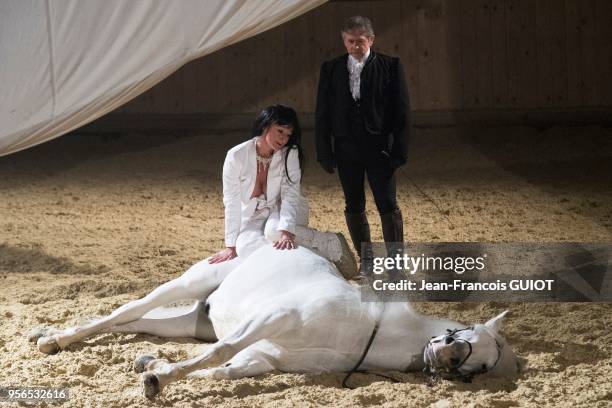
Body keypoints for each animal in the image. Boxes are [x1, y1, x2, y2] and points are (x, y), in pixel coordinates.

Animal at [31, 245, 520, 398]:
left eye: (479, 368)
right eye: (469, 335)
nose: (447, 356)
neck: (365, 331)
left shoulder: (267, 356)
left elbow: (226, 370)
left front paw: (151, 368)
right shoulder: (272, 319)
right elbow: (221, 353)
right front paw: (158, 380)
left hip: (191, 320)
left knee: (135, 322)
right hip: (192, 281)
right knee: (128, 310)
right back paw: (55, 340)